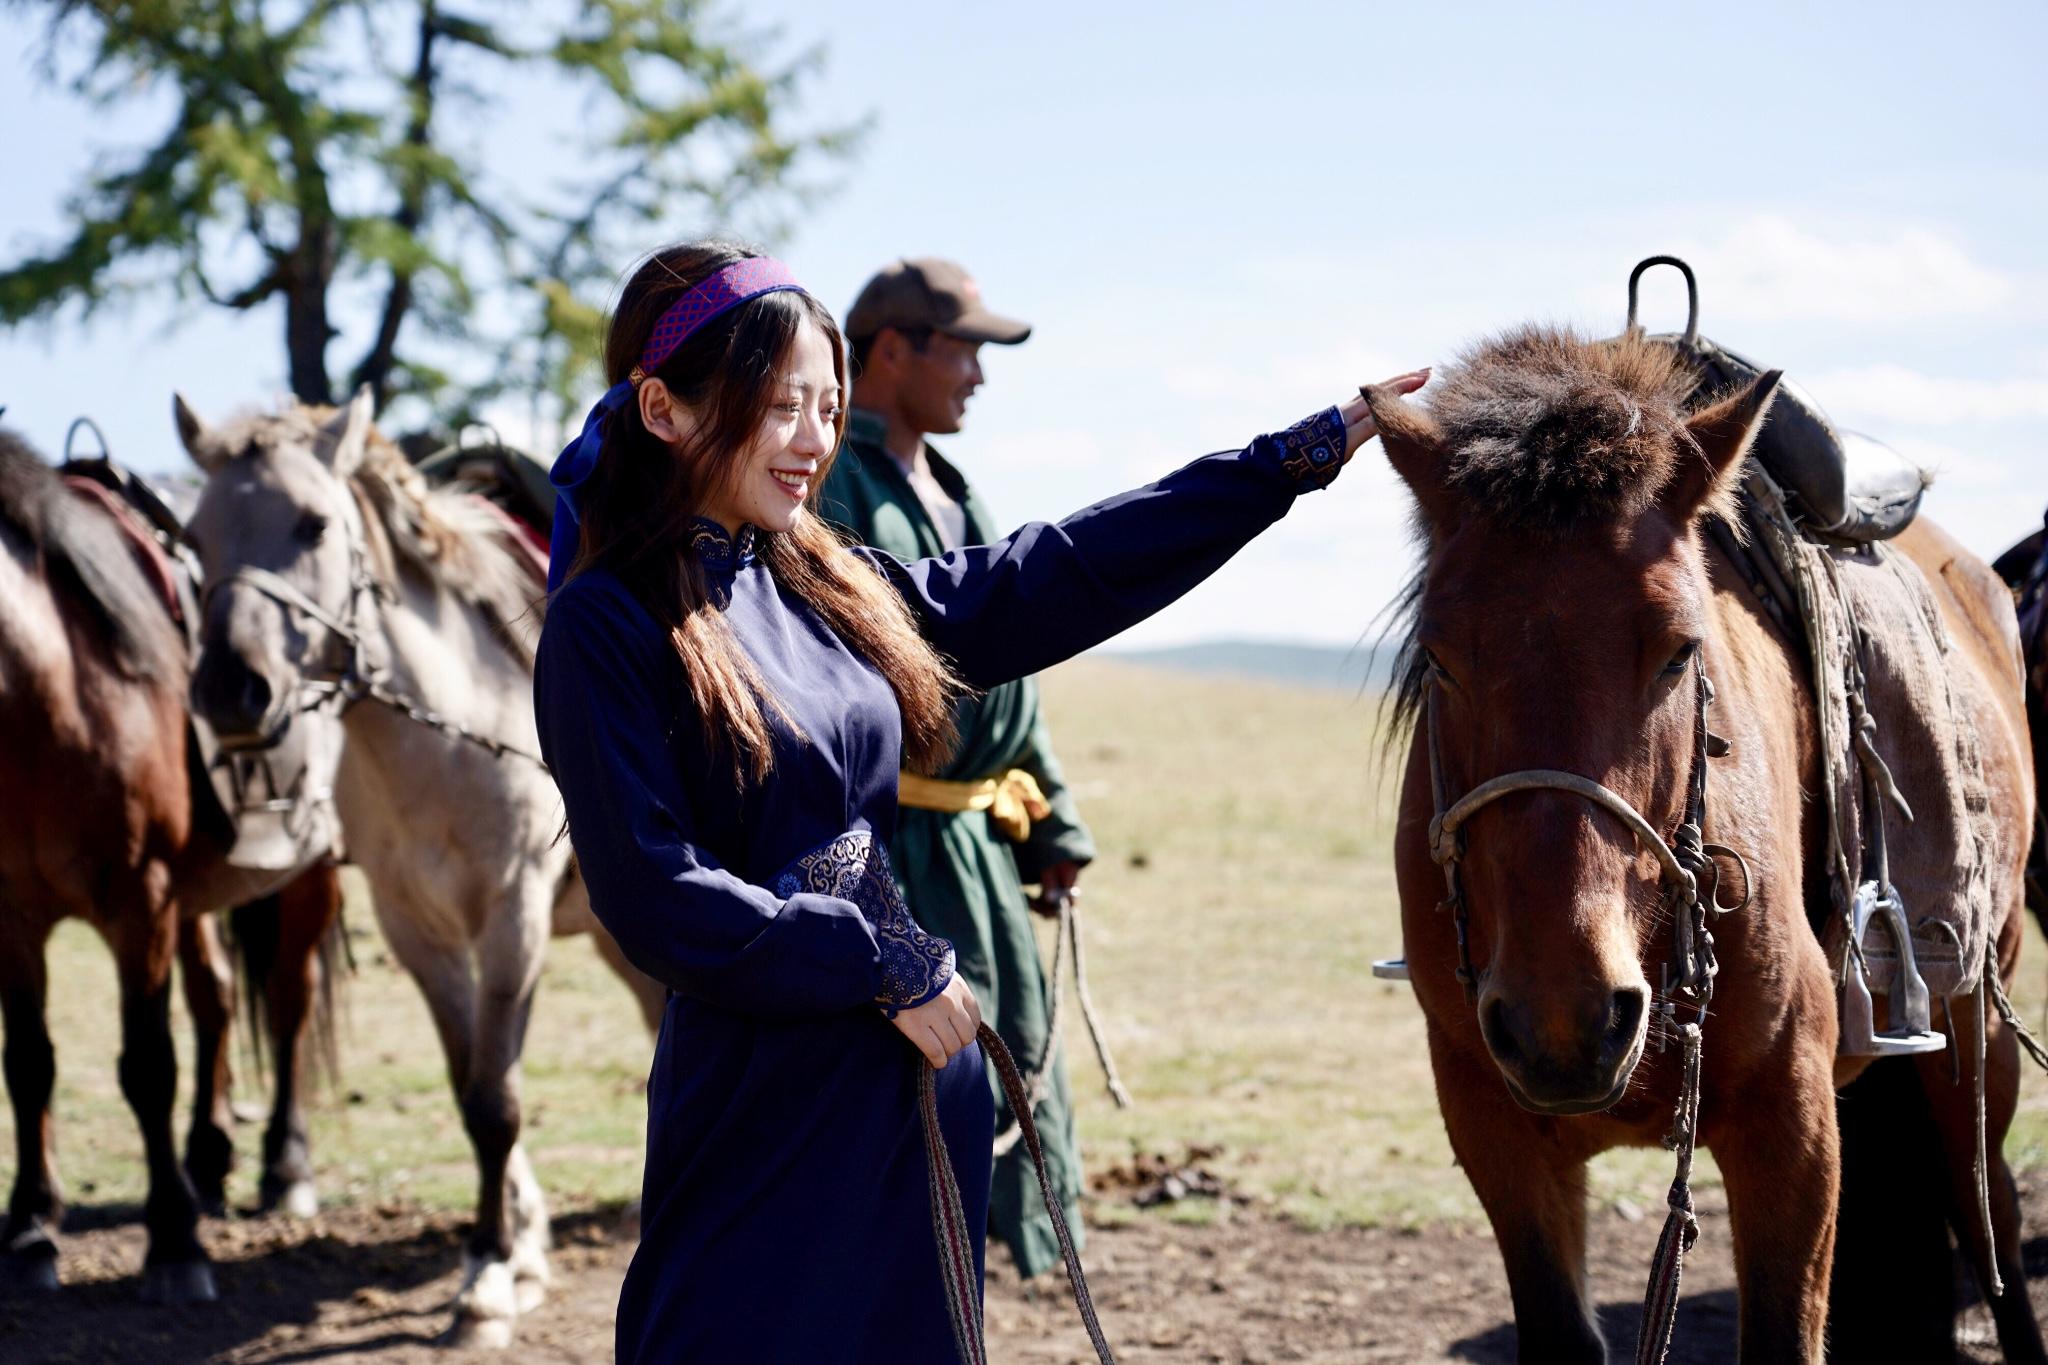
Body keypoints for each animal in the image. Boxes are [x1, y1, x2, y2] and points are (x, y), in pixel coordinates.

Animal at [176, 388, 659, 1350]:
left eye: (313, 522)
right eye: (194, 538)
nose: (229, 691)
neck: (445, 734)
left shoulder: (511, 919)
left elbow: (496, 1099)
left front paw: (488, 1283)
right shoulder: (418, 933)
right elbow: (473, 1083)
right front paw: (505, 1250)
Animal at [1368, 333, 2039, 1365]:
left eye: (1683, 650)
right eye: (1439, 656)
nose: (1567, 1018)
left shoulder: (1790, 1124)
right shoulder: (1495, 1125)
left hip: (1974, 1016)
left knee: (1988, 1208)